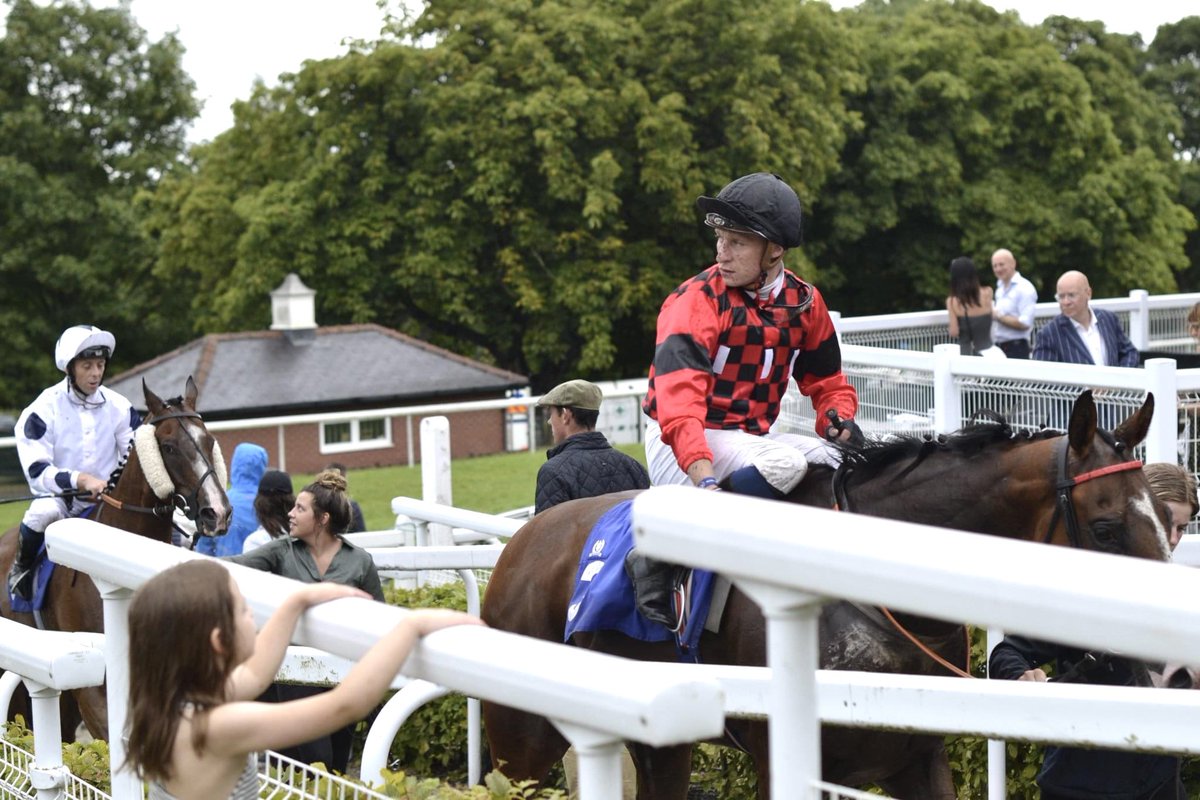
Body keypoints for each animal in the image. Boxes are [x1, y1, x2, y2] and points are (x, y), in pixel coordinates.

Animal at [480, 391, 1171, 796]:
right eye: (1106, 528)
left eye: (1166, 519)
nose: (1170, 671)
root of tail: (523, 540)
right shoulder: (784, 762)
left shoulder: (917, 757)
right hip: (522, 741)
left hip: (660, 742)